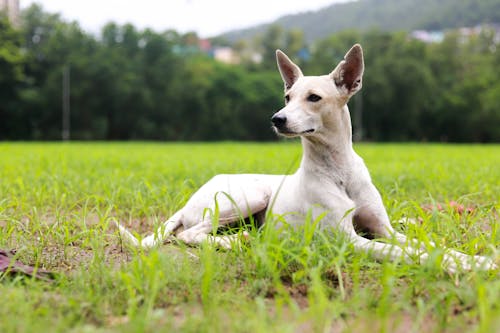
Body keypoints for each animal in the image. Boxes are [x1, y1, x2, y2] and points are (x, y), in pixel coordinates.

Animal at [116, 44, 496, 272]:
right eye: (287, 96)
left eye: (313, 97)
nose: (277, 119)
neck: (339, 168)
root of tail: (189, 200)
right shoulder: (349, 241)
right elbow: (408, 253)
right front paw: (459, 266)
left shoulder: (383, 229)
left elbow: (426, 244)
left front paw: (476, 260)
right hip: (246, 196)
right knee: (190, 234)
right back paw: (234, 240)